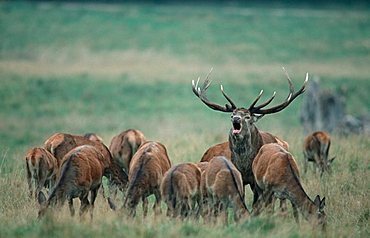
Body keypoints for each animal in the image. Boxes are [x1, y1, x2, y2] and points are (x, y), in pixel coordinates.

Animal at [192, 69, 308, 206]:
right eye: (232, 115)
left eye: (247, 116)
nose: (236, 119)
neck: (245, 166)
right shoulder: (239, 176)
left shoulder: (256, 180)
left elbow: (256, 202)